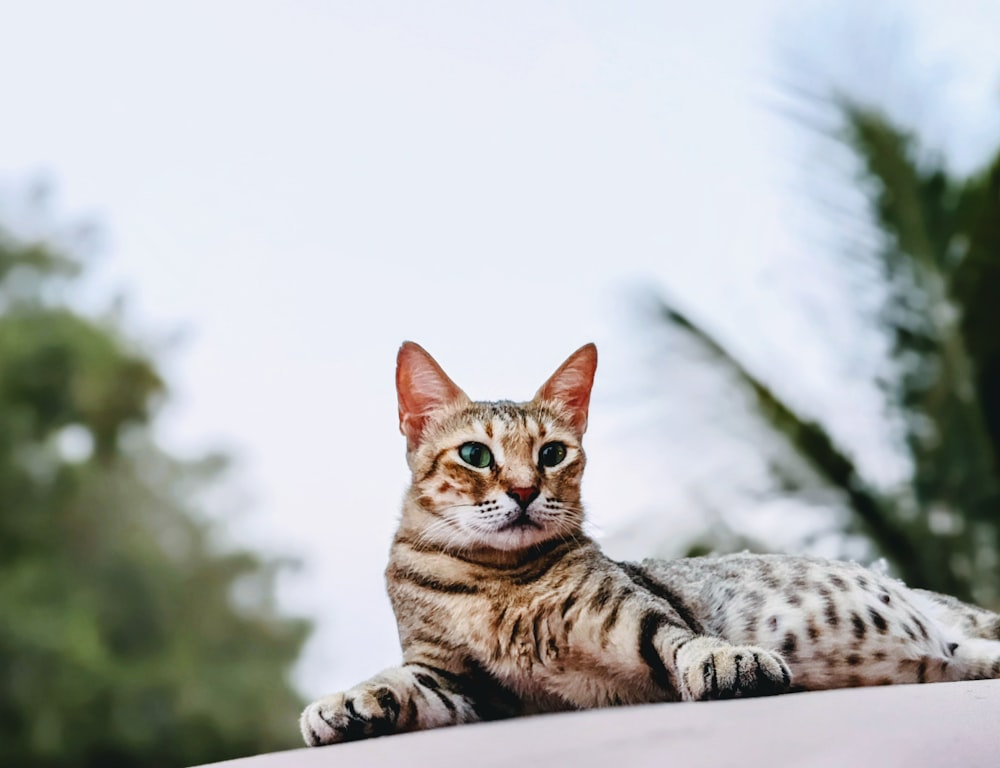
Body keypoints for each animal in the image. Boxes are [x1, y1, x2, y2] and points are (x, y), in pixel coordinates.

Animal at [298, 342, 1000, 744]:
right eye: (475, 455)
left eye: (552, 454)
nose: (524, 490)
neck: (498, 581)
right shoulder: (456, 679)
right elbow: (396, 682)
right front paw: (343, 703)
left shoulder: (635, 616)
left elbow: (683, 640)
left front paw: (731, 661)